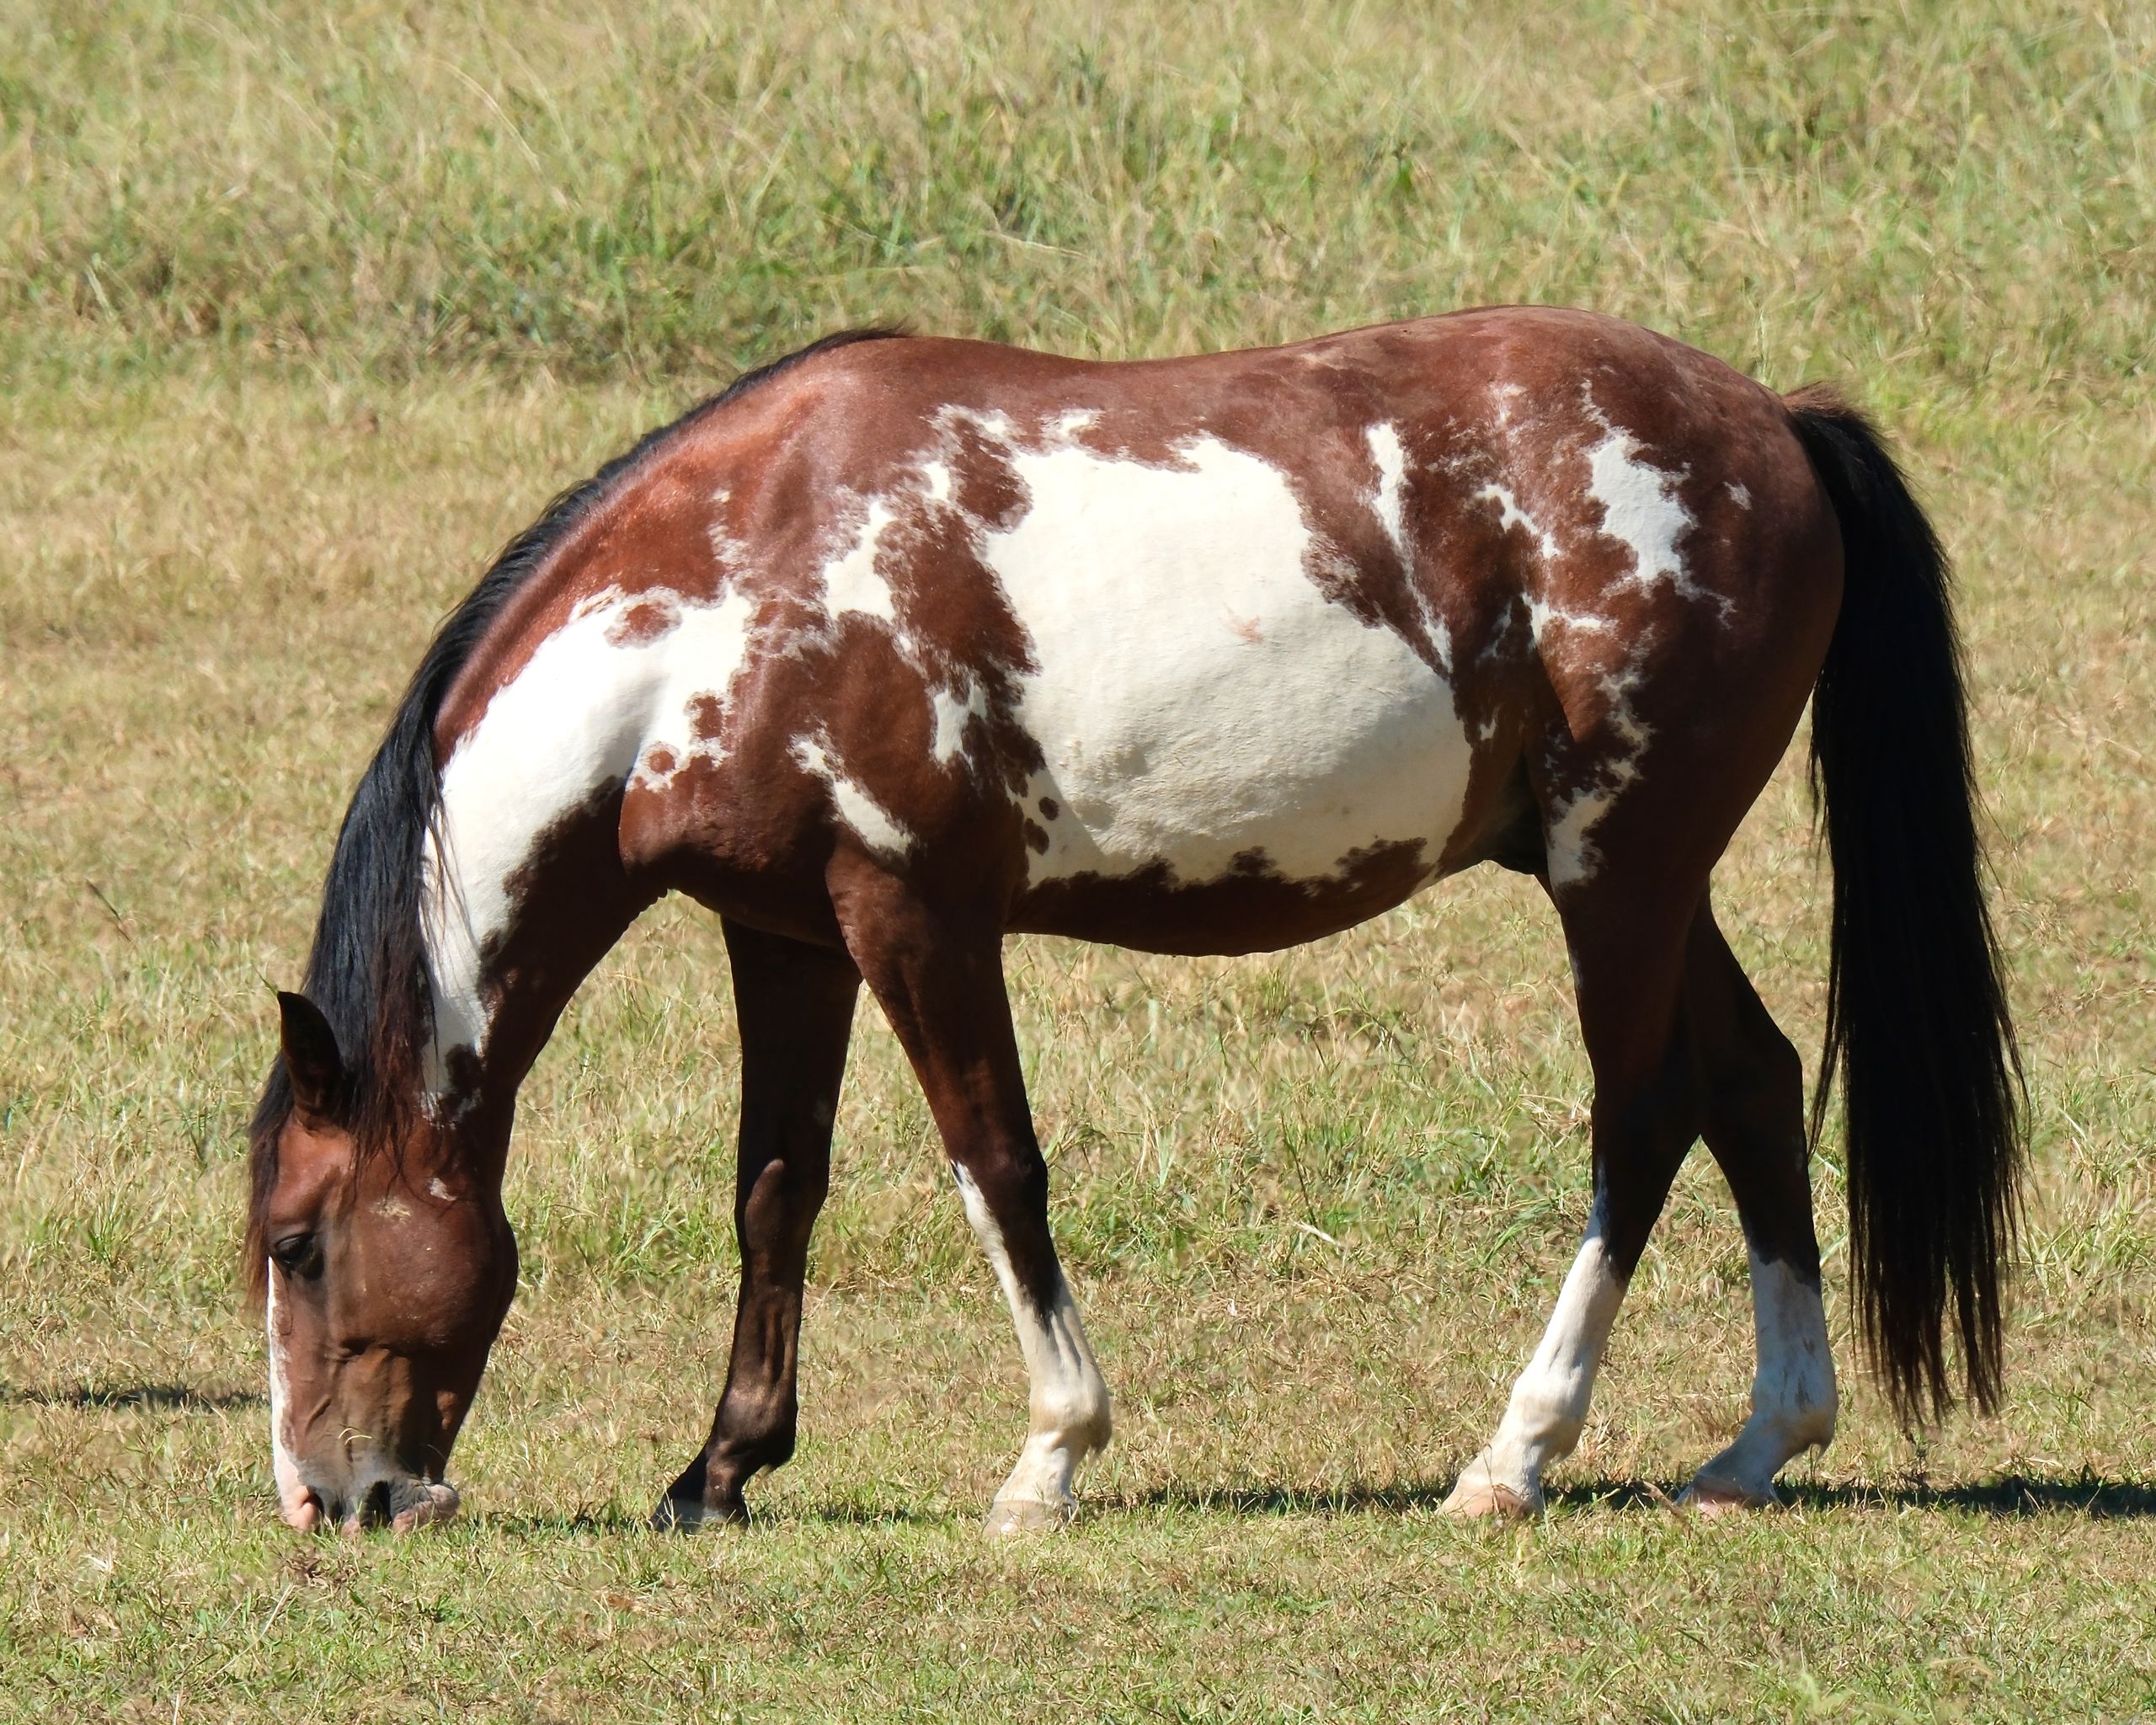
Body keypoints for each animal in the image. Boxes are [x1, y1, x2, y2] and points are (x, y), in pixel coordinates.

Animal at [247, 309, 2023, 1535]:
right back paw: (1761, 1441)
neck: (727, 599)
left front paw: (1051, 1455)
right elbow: (775, 1190)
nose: (332, 1497)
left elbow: (998, 1165)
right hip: (1633, 873)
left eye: (298, 1240)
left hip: (1620, 872)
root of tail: (1774, 419)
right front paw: (723, 1465)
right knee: (1755, 1081)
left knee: (1641, 1117)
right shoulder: (791, 936)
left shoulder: (917, 917)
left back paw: (1513, 1454)